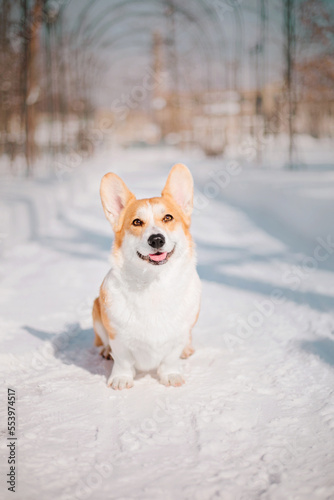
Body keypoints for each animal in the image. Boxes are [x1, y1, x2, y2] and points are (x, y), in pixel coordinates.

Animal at [92, 162, 201, 388]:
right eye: (136, 222)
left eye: (168, 217)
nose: (157, 239)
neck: (154, 283)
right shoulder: (118, 337)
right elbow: (122, 359)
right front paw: (121, 379)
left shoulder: (178, 335)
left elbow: (171, 358)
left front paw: (171, 375)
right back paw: (105, 351)